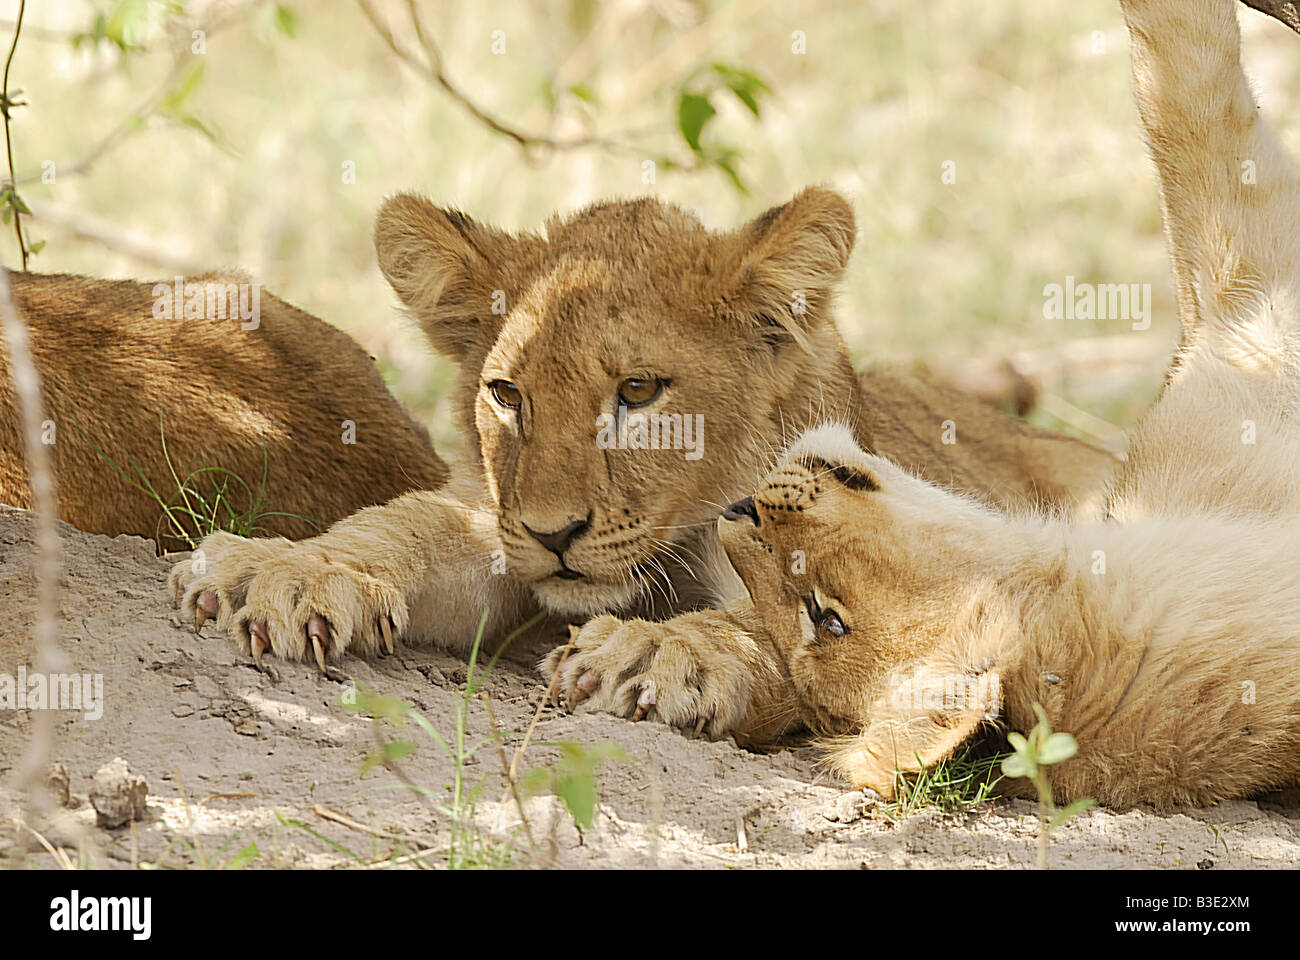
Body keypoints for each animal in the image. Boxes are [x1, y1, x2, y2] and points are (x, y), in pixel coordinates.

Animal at [168, 185, 1115, 701]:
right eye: (507, 395)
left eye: (636, 392)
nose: (553, 534)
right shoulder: (496, 528)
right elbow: (408, 527)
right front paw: (287, 569)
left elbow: (773, 614)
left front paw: (660, 650)